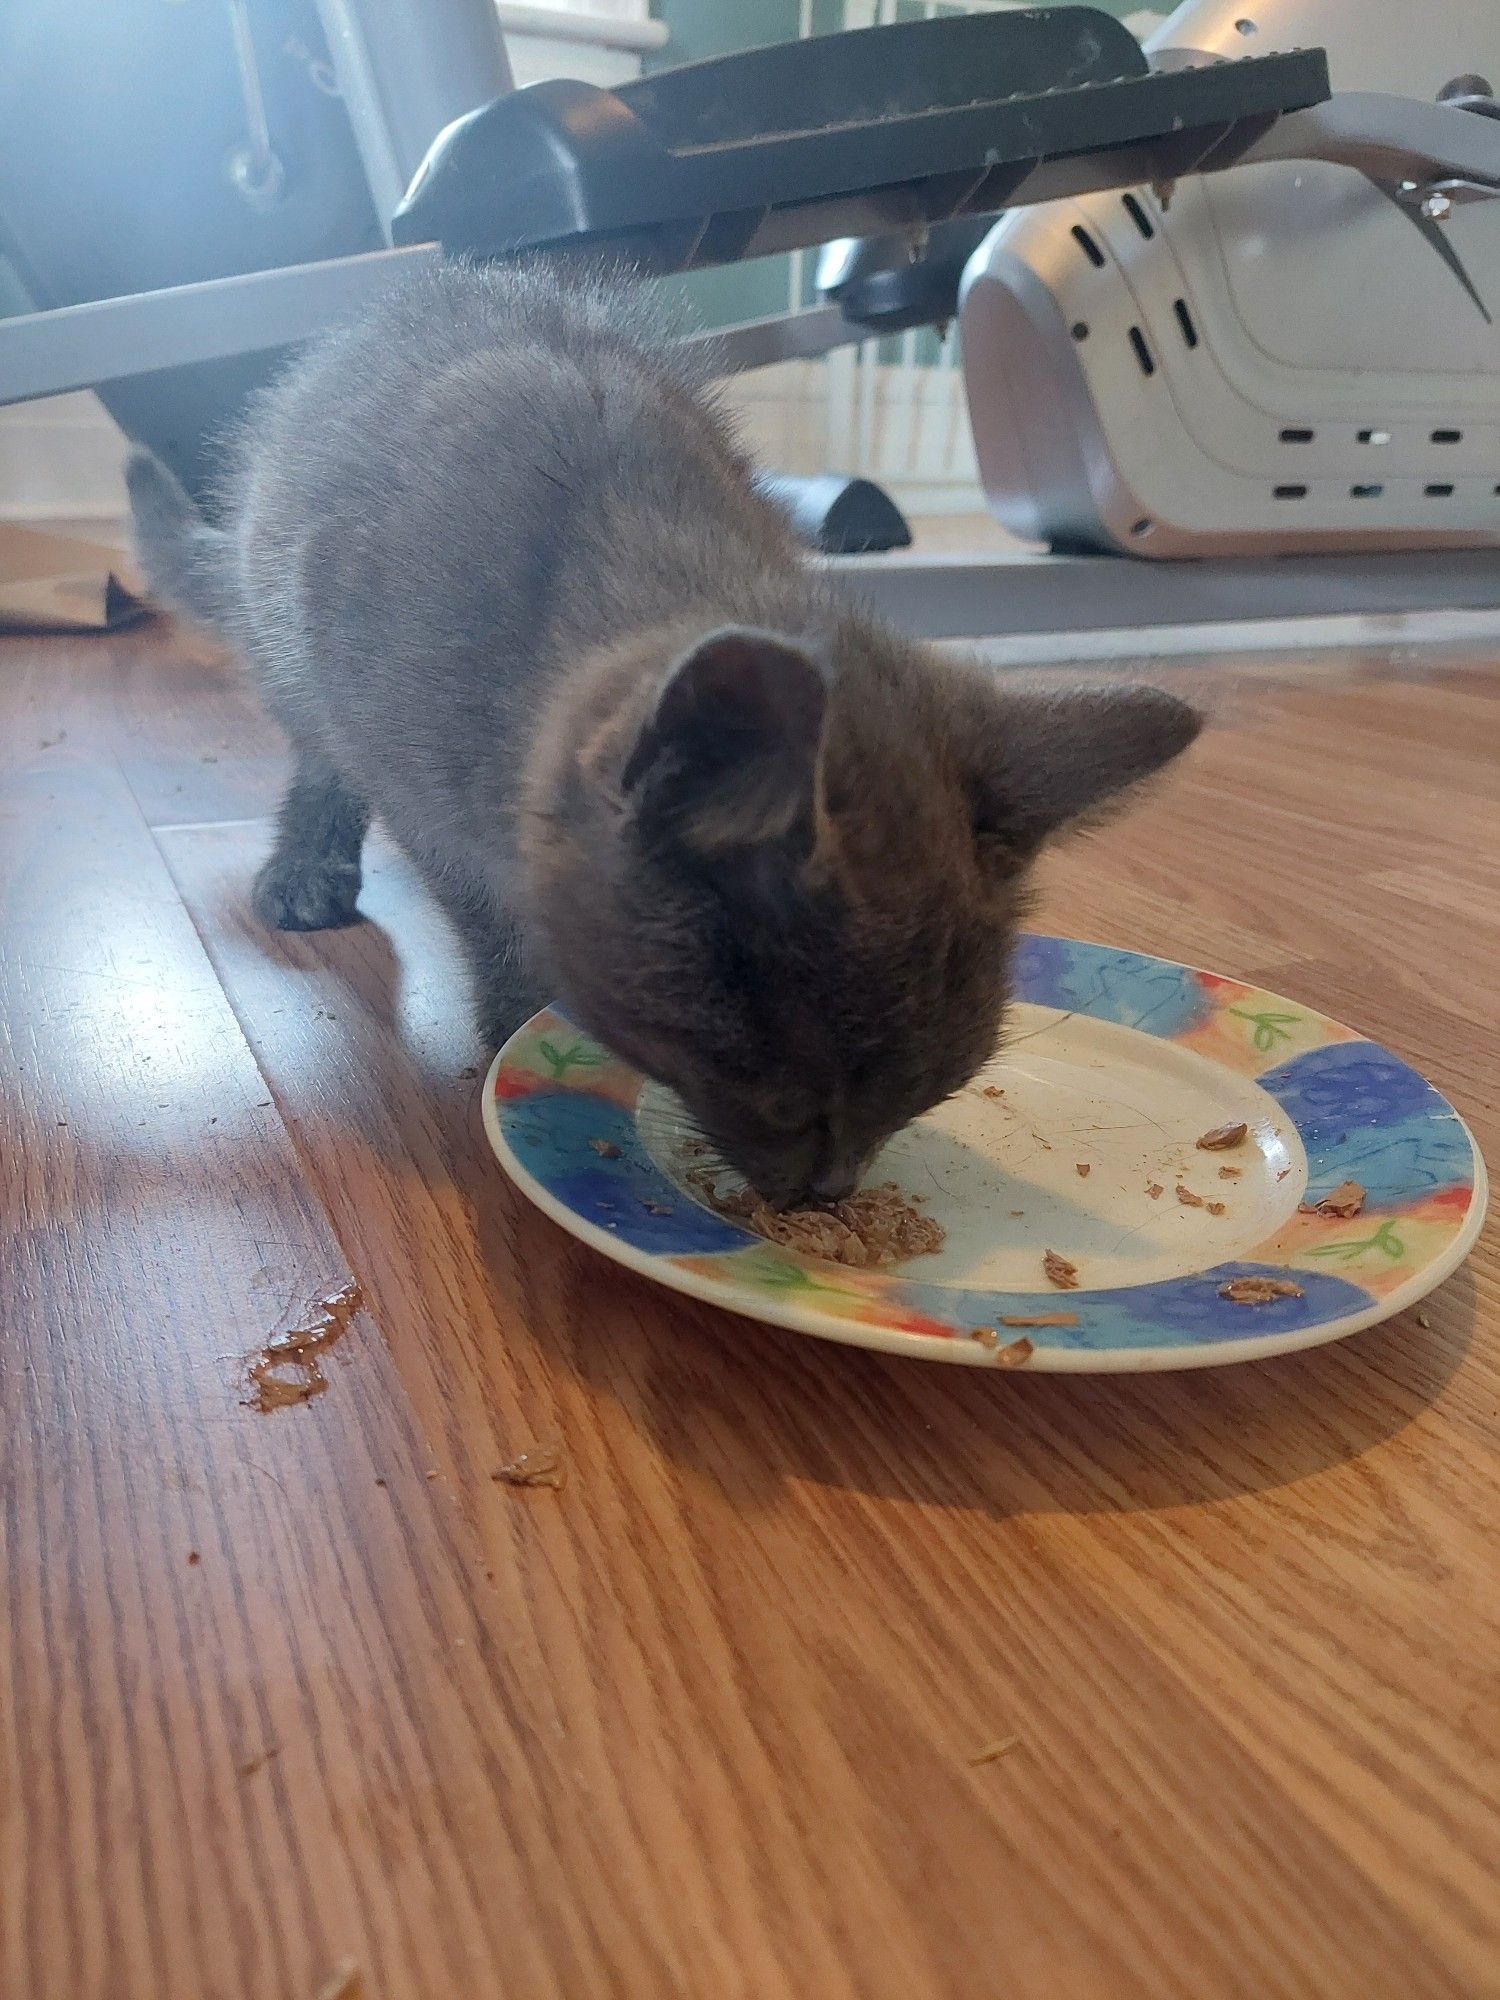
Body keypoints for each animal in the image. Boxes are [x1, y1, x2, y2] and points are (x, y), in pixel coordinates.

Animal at [135, 262, 1208, 1200]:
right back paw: (307, 864)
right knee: (314, 746)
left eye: (925, 1102)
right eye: (794, 1104)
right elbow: (484, 909)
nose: (833, 1192)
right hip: (289, 630)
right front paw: (518, 1024)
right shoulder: (411, 773)